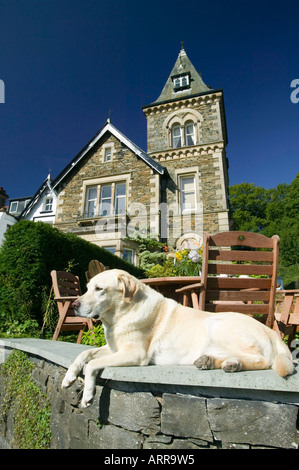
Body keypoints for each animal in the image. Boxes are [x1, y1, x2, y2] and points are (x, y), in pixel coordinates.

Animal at [61, 268, 296, 408]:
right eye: (87, 288)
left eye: (99, 289)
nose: (74, 305)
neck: (121, 314)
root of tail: (273, 333)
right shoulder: (114, 348)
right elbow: (85, 353)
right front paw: (69, 377)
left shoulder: (135, 354)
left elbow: (92, 364)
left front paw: (88, 394)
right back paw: (214, 362)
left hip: (217, 323)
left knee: (262, 360)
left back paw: (231, 364)